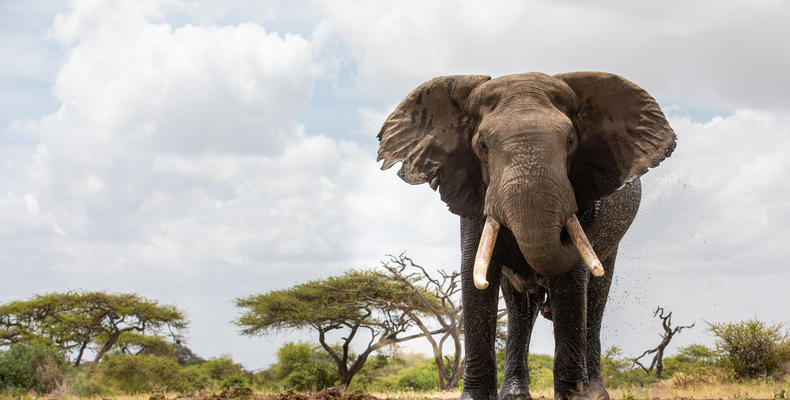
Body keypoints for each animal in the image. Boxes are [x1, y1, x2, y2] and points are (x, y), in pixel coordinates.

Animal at [376, 72, 676, 400]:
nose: (592, 213)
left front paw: (574, 397)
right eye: (481, 145)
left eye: (571, 141)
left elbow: (572, 281)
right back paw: (516, 393)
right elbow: (475, 278)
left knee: (595, 298)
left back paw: (596, 393)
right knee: (521, 307)